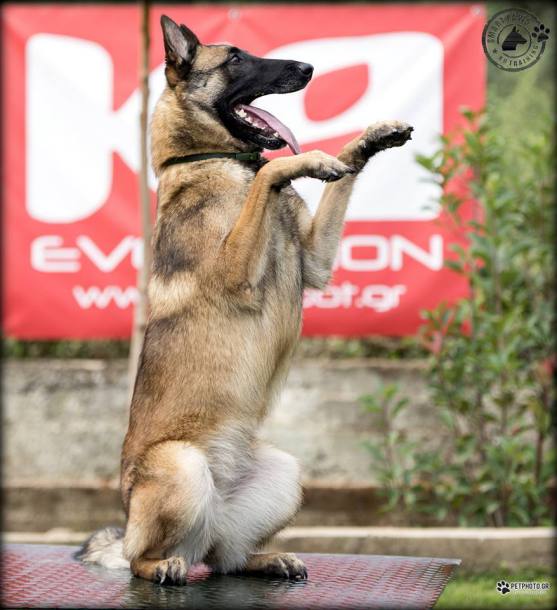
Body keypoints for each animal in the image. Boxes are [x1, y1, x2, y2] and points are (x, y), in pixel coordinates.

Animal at [77, 15, 413, 585]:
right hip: (182, 467)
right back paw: (162, 565)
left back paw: (268, 557)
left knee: (224, 559)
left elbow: (333, 175)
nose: (308, 67)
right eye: (235, 58)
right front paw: (310, 158)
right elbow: (273, 172)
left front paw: (365, 141)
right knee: (143, 559)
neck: (213, 158)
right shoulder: (236, 273)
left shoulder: (315, 261)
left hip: (284, 473)